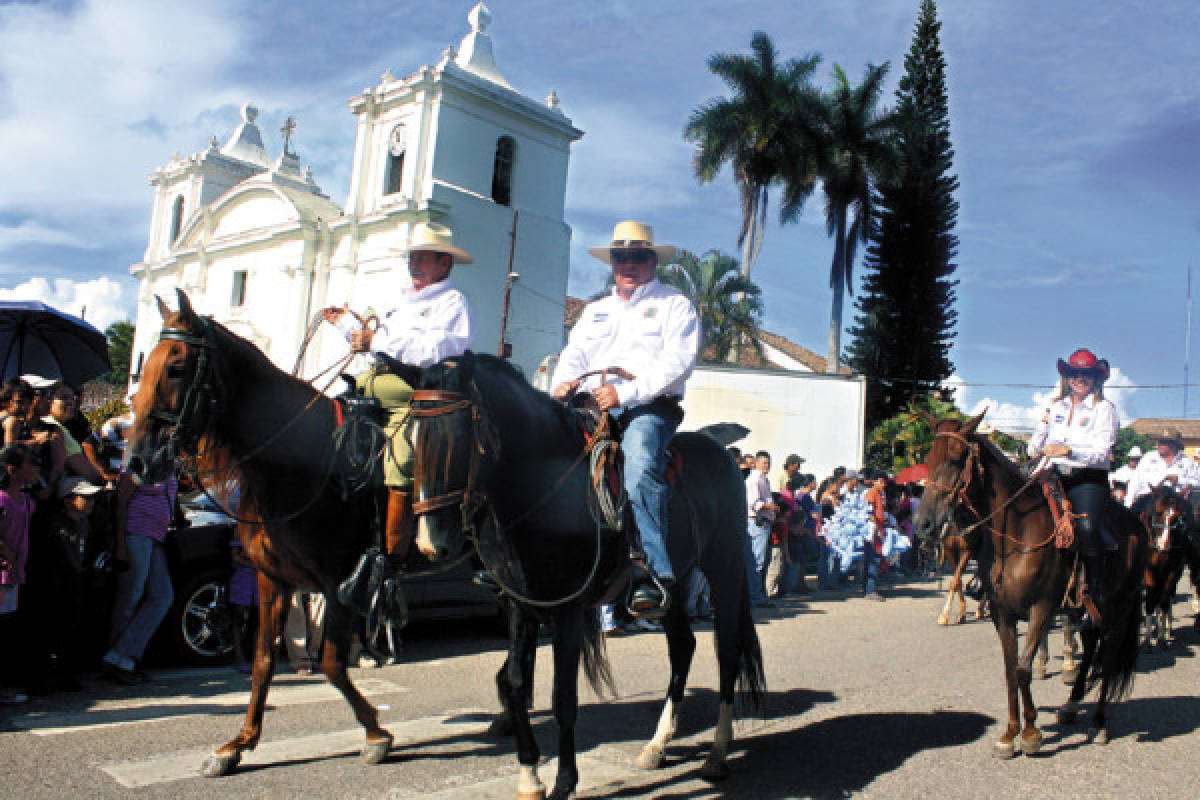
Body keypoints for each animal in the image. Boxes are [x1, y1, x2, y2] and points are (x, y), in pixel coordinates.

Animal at [129, 292, 396, 777]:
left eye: (176, 366)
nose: (138, 461)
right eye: (145, 365)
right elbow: (263, 660)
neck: (300, 460)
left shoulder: (340, 581)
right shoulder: (273, 579)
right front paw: (238, 743)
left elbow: (332, 663)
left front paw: (375, 732)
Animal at [408, 352, 763, 800]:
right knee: (682, 647)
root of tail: (723, 452)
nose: (430, 544)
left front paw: (564, 782)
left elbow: (563, 697)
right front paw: (529, 776)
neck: (545, 482)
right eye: (410, 438)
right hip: (676, 581)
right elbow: (515, 683)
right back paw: (657, 744)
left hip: (725, 568)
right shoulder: (522, 606)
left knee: (728, 651)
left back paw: (717, 754)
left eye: (459, 435)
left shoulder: (570, 611)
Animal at [916, 412, 1142, 758]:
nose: (923, 525)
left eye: (956, 458)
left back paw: (1100, 723)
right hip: (1090, 610)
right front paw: (1010, 734)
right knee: (1091, 642)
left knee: (1110, 654)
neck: (1017, 537)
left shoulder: (1042, 608)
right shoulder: (1002, 612)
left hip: (1120, 608)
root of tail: (1138, 524)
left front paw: (1032, 733)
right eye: (928, 459)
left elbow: (1023, 668)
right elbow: (1010, 669)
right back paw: (1071, 706)